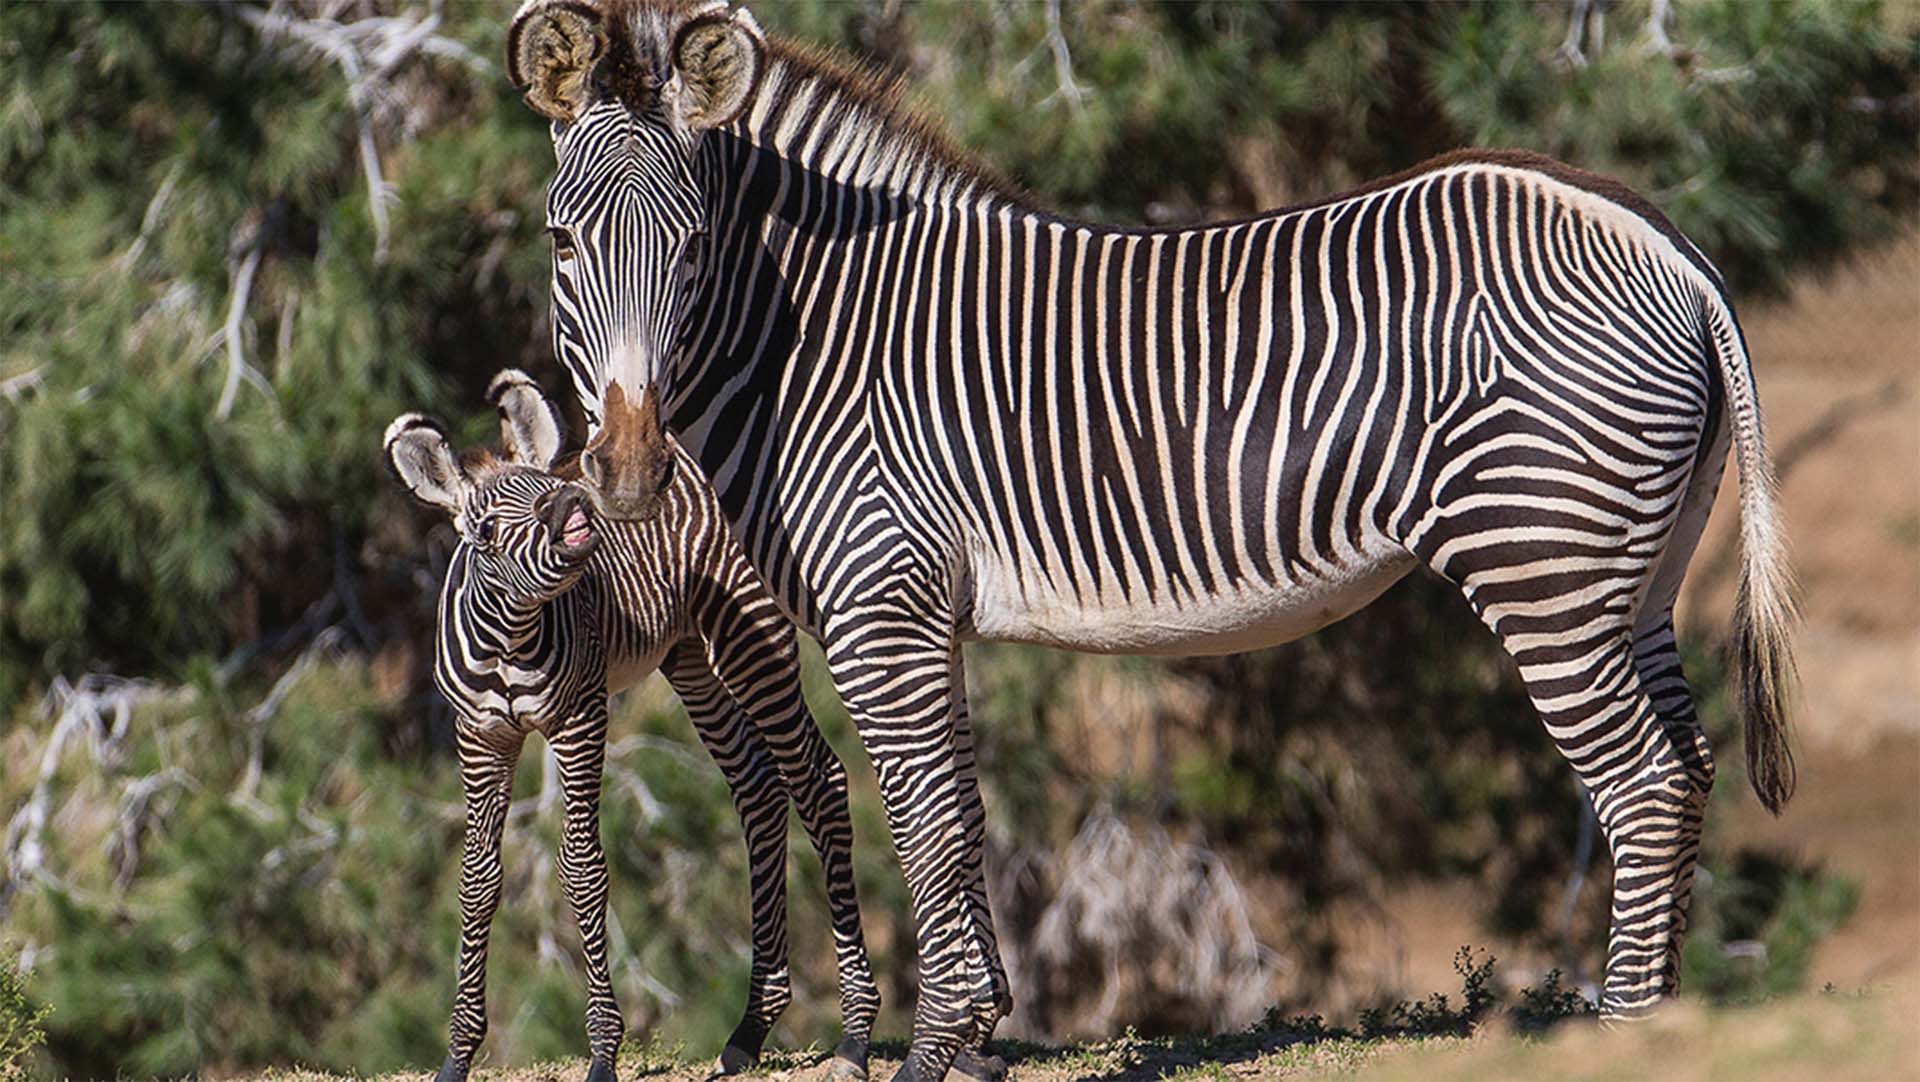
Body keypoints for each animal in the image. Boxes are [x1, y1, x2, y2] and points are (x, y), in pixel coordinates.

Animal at [385, 370, 879, 1074]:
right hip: (691, 657)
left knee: (818, 780)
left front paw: (602, 1051)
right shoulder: (479, 735)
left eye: (548, 493)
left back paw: (856, 1031)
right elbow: (478, 878)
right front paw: (457, 1056)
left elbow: (582, 868)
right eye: (483, 531)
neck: (510, 640)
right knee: (758, 791)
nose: (571, 510)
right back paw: (750, 1029)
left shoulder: (581, 717)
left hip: (752, 637)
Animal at [506, 4, 1797, 1074]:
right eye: (563, 244)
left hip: (1541, 560)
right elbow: (963, 818)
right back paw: (1670, 1021)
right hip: (1635, 575)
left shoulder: (883, 610)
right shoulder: (933, 616)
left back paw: (1626, 1033)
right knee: (1687, 767)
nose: (629, 471)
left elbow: (922, 824)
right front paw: (978, 1040)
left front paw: (931, 1049)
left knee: (1638, 785)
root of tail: (1666, 243)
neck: (810, 339)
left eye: (690, 247)